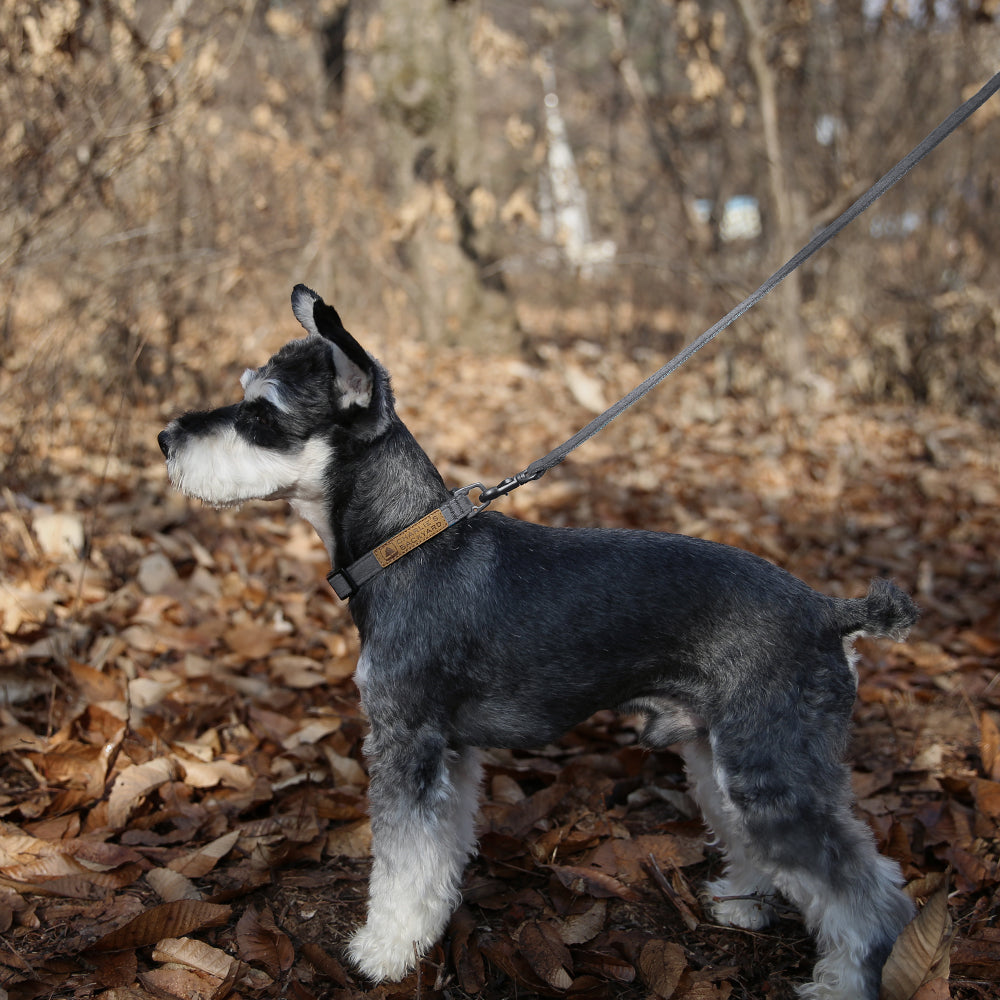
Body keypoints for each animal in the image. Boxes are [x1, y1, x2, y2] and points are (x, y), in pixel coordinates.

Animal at [160, 286, 916, 996]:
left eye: (260, 414)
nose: (165, 438)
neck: (403, 545)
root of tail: (829, 613)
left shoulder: (407, 741)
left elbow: (401, 862)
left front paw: (383, 952)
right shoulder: (452, 751)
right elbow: (435, 855)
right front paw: (425, 929)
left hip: (771, 765)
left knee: (871, 899)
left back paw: (840, 983)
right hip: (721, 755)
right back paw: (742, 901)